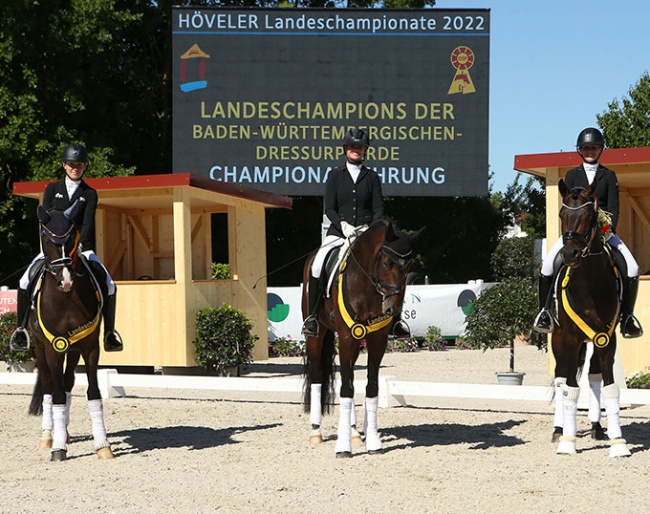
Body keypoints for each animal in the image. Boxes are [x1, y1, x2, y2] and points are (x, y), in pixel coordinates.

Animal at [26, 200, 114, 460]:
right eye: (46, 239)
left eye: (72, 236)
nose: (65, 282)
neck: (66, 299)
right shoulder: (53, 348)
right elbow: (55, 396)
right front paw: (58, 448)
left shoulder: (90, 347)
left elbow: (93, 392)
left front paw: (103, 445)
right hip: (41, 347)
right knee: (49, 386)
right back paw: (48, 435)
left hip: (73, 350)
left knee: (67, 382)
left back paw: (62, 431)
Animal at [302, 218, 422, 454]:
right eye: (387, 263)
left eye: (409, 267)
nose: (393, 309)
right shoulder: (347, 337)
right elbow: (346, 389)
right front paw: (343, 446)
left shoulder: (377, 340)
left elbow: (370, 387)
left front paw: (372, 440)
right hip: (316, 334)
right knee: (318, 373)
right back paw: (316, 431)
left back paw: (355, 432)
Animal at [548, 177, 632, 456]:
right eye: (562, 215)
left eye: (588, 215)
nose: (570, 255)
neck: (589, 281)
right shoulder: (569, 340)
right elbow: (570, 390)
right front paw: (567, 441)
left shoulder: (607, 339)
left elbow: (610, 388)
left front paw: (618, 443)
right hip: (558, 340)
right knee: (561, 378)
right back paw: (559, 429)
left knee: (593, 377)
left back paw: (597, 427)